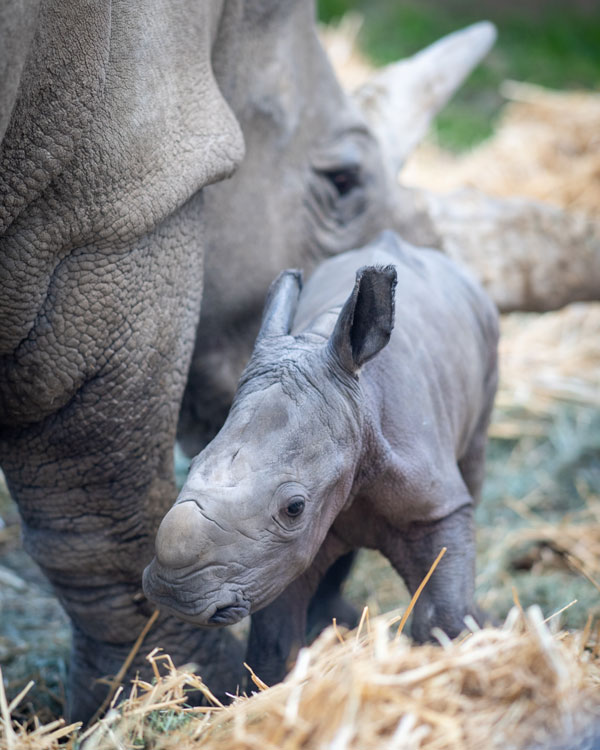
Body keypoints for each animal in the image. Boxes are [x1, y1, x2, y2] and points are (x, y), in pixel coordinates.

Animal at [144, 231, 499, 684]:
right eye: (191, 465)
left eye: (294, 507)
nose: (176, 596)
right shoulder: (273, 557)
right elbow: (275, 642)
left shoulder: (435, 505)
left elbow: (445, 616)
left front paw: (462, 647)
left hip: (486, 335)